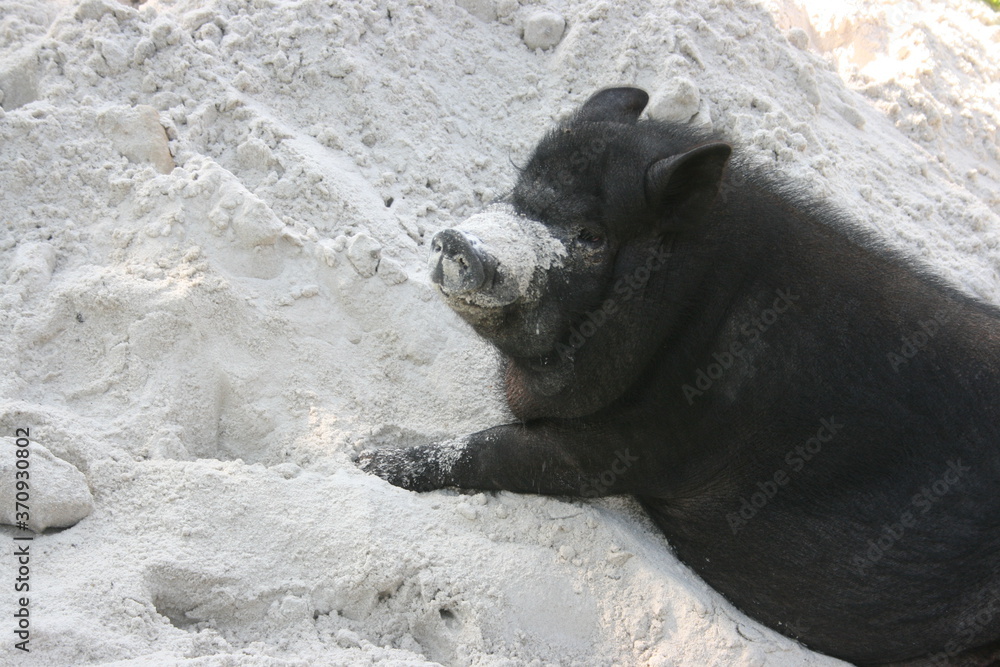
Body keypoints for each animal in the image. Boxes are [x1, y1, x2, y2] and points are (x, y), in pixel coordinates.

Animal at [358, 87, 1000, 667]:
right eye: (518, 192)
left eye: (592, 235)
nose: (458, 240)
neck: (689, 307)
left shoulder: (645, 444)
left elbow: (495, 449)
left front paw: (364, 461)